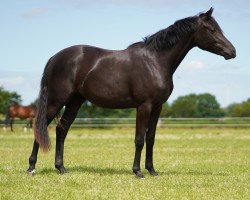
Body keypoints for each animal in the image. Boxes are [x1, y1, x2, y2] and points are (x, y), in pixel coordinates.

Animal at [27, 7, 236, 178]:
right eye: (212, 30)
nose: (232, 51)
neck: (155, 61)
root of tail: (55, 57)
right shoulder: (144, 106)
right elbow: (139, 139)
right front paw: (138, 172)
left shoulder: (157, 107)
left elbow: (151, 138)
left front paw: (152, 170)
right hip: (56, 101)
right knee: (41, 127)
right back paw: (31, 168)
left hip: (75, 101)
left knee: (62, 129)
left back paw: (61, 168)